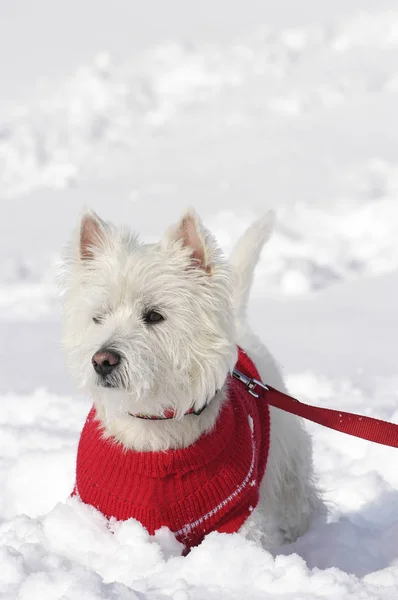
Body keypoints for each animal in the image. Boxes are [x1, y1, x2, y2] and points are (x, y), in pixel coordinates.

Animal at [63, 209, 322, 552]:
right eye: (98, 317)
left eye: (154, 315)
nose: (103, 360)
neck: (154, 426)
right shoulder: (97, 509)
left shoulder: (234, 513)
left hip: (286, 456)